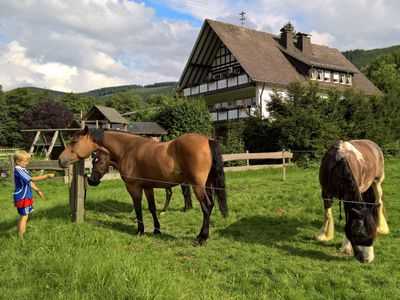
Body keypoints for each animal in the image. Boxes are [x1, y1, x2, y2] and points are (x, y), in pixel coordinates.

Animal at [59, 127, 228, 245]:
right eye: (93, 161)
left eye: (74, 142)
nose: (61, 160)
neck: (128, 149)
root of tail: (208, 140)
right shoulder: (148, 187)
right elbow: (152, 208)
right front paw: (157, 229)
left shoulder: (133, 187)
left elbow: (138, 208)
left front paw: (140, 230)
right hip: (207, 184)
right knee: (211, 205)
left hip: (197, 185)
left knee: (207, 206)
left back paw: (202, 237)